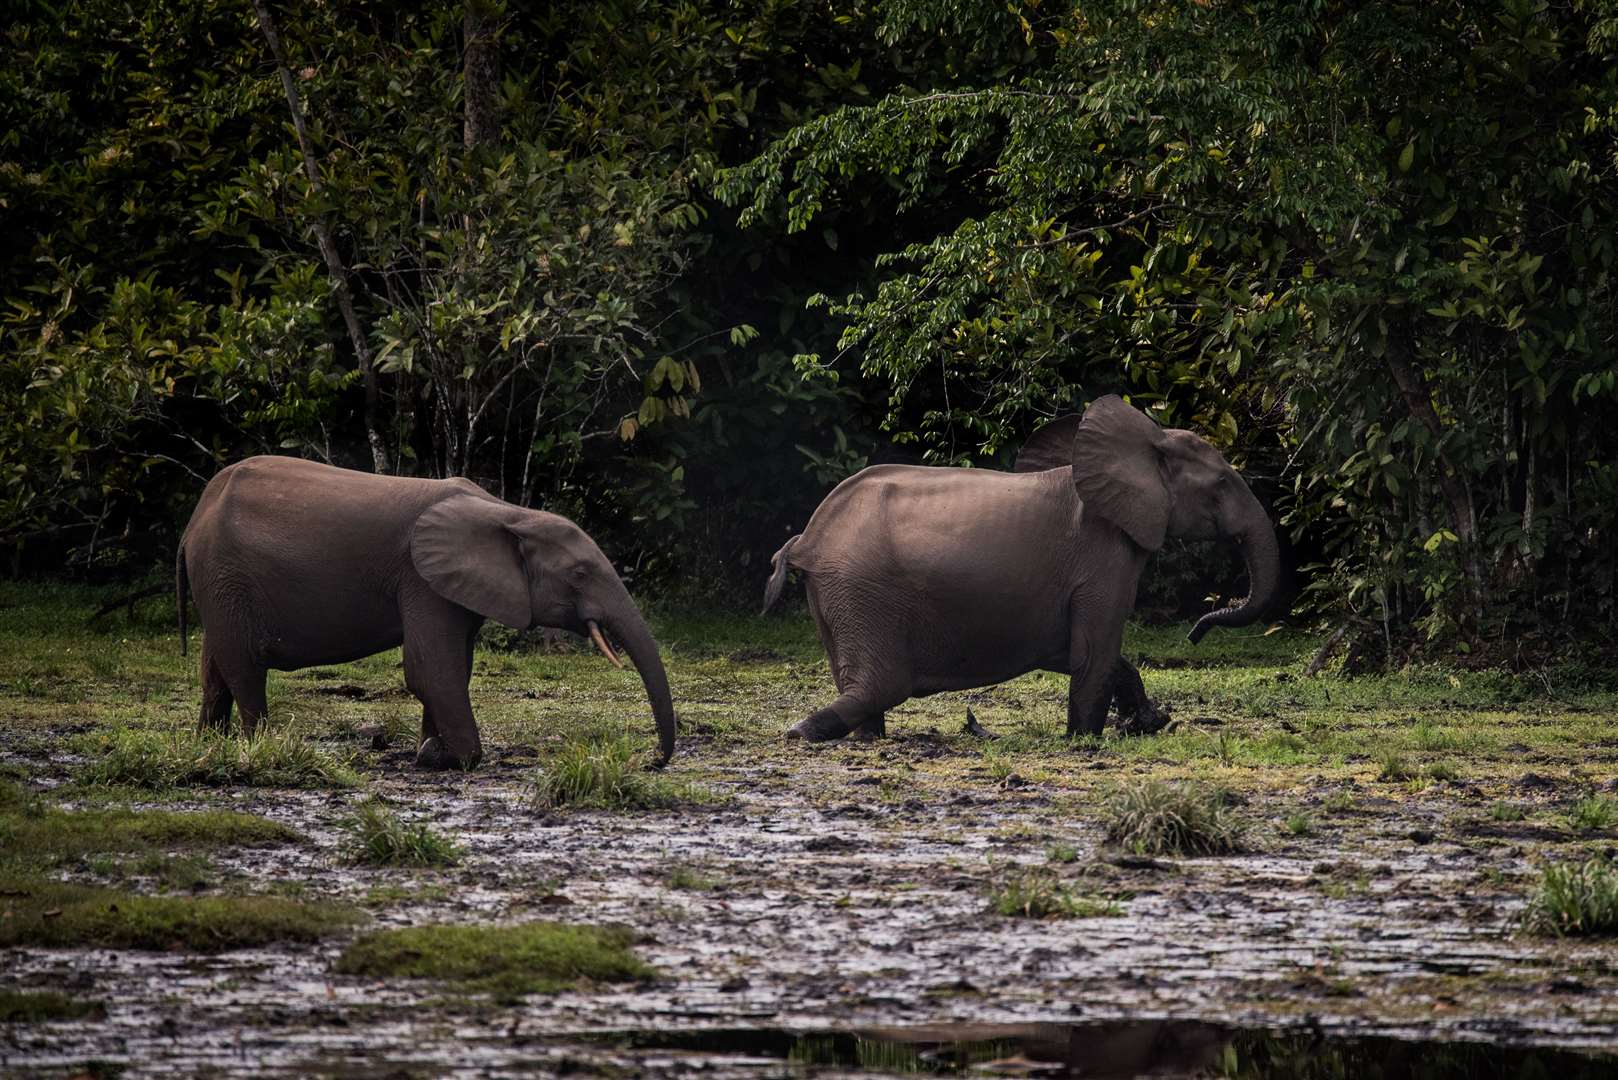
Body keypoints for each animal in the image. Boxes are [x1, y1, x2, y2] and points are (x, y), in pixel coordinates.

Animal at [177, 456, 676, 767]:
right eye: (578, 574)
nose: (652, 761)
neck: (508, 512)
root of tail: (194, 519)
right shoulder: (420, 578)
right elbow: (430, 669)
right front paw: (448, 758)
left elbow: (453, 668)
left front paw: (430, 751)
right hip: (224, 575)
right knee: (244, 668)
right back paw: (260, 746)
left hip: (220, 585)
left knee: (215, 668)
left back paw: (210, 745)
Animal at [763, 395, 1281, 744]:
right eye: (1221, 483)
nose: (1194, 632)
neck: (1144, 441)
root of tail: (807, 538)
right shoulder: (1104, 555)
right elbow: (1093, 653)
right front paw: (1084, 740)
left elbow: (1082, 653)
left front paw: (1146, 723)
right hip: (863, 591)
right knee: (881, 685)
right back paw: (800, 731)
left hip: (839, 595)